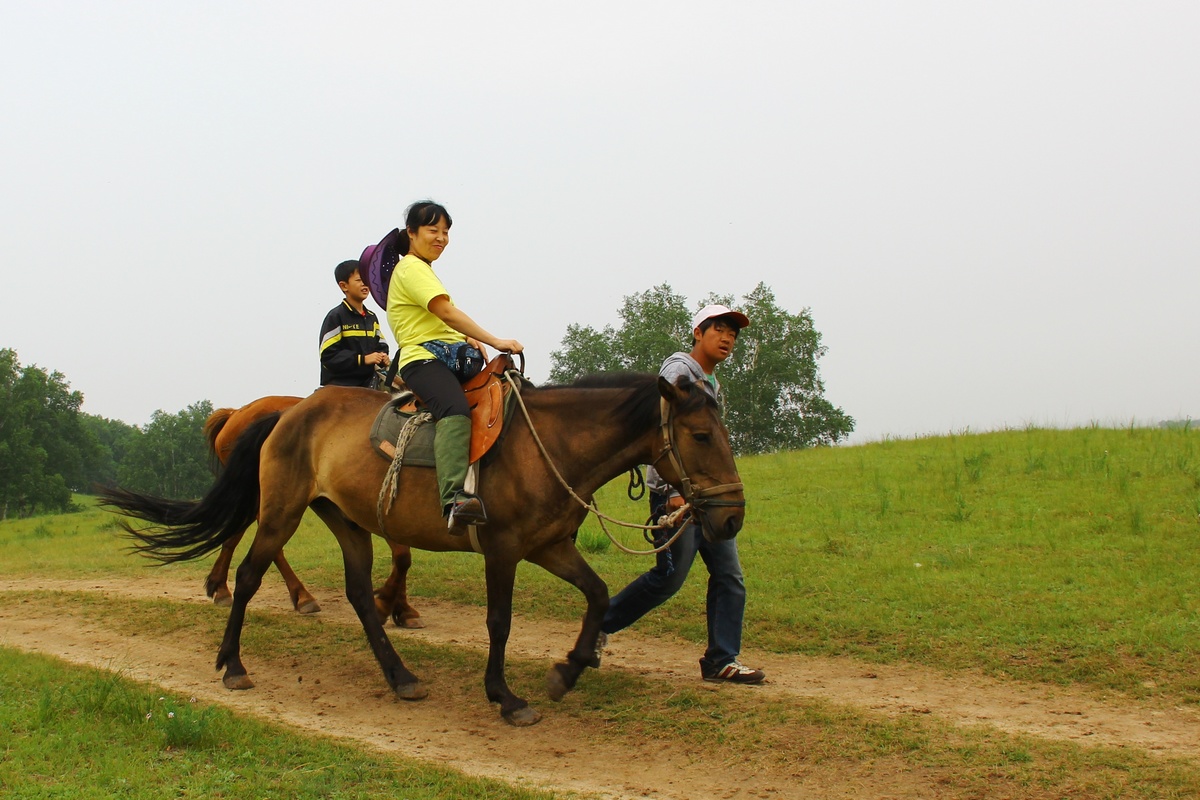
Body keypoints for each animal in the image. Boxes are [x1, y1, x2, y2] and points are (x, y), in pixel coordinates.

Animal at [208, 398, 424, 628]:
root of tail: (234, 414)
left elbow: (401, 558)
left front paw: (402, 609)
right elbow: (402, 556)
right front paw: (386, 606)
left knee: (237, 534)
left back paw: (219, 586)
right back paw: (302, 596)